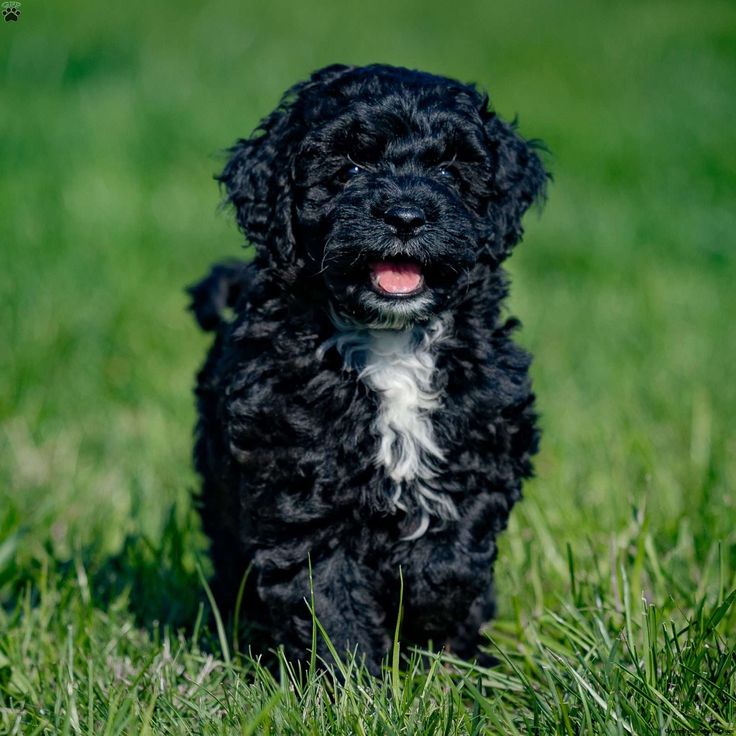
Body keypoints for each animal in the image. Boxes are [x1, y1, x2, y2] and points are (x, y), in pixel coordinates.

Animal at [190, 63, 548, 672]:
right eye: (351, 166)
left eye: (449, 169)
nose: (405, 216)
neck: (391, 339)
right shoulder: (297, 479)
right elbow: (324, 589)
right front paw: (352, 679)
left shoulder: (485, 444)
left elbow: (453, 558)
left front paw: (429, 617)